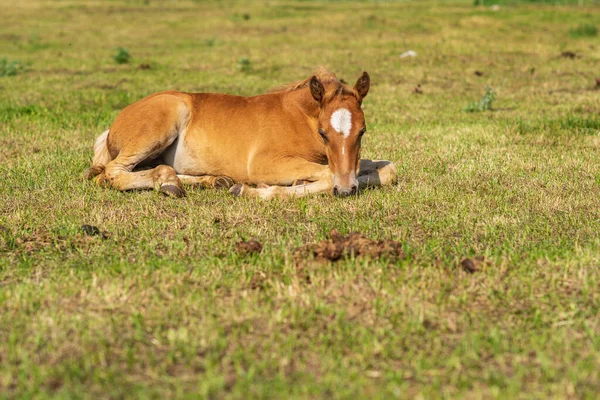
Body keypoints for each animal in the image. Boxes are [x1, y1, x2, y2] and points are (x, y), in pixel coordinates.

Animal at [83, 70, 394, 200]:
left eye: (362, 131)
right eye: (323, 132)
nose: (346, 190)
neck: (301, 117)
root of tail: (114, 125)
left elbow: (388, 170)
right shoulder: (263, 164)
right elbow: (328, 174)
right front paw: (255, 190)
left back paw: (210, 181)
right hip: (161, 123)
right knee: (112, 173)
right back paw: (171, 183)